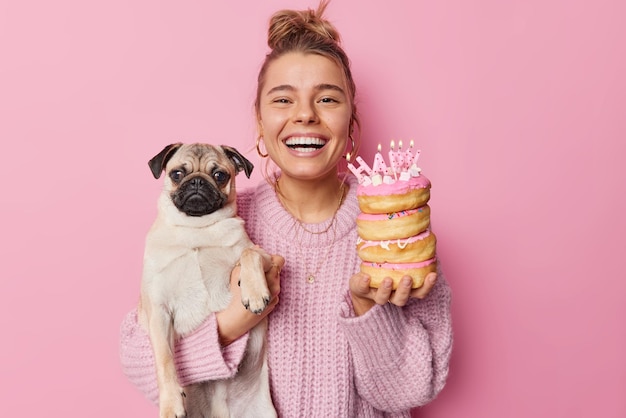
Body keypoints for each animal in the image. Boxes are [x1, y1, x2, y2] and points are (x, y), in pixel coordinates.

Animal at [140, 144, 276, 418]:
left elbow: (249, 253)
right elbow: (165, 360)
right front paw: (171, 404)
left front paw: (255, 294)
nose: (197, 182)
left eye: (220, 175)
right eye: (177, 174)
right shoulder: (158, 311)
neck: (196, 229)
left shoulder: (265, 256)